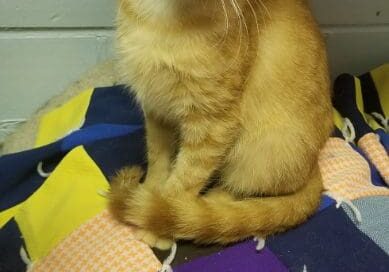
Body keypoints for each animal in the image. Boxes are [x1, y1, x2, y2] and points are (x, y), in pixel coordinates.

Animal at [108, 0, 330, 249]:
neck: (164, 21)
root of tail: (314, 167)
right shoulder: (156, 108)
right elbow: (158, 158)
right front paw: (149, 191)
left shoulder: (213, 124)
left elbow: (186, 178)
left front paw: (162, 218)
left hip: (263, 153)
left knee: (240, 193)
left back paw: (206, 208)